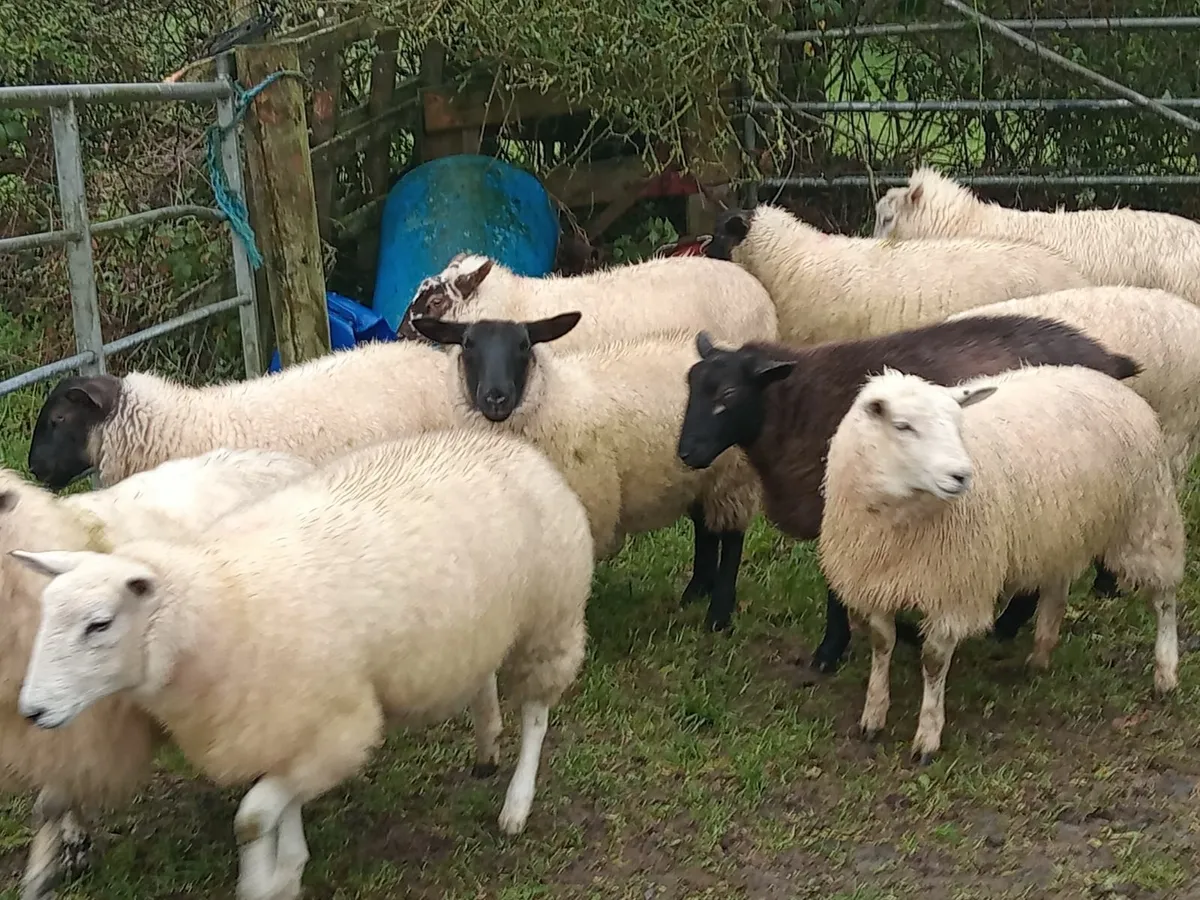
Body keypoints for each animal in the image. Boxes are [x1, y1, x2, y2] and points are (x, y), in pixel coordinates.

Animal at [411, 312, 761, 632]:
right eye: (468, 344)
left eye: (524, 345)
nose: (496, 398)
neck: (552, 400)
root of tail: (727, 349)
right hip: (701, 473)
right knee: (706, 528)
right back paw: (695, 592)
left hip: (733, 475)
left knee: (731, 537)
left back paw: (718, 614)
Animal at [675, 314, 1141, 674]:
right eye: (691, 385)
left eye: (729, 394)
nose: (686, 452)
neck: (794, 409)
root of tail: (1110, 359)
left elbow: (837, 586)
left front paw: (831, 652)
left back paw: (1006, 626)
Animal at [818, 366, 1184, 763]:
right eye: (903, 426)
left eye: (957, 423)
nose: (961, 475)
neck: (899, 519)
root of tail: (1098, 376)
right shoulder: (874, 580)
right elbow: (882, 644)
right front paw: (873, 715)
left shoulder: (954, 589)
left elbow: (933, 662)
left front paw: (927, 737)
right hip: (1060, 530)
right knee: (1056, 590)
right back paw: (1040, 654)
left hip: (1146, 518)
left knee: (1164, 598)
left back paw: (1166, 672)